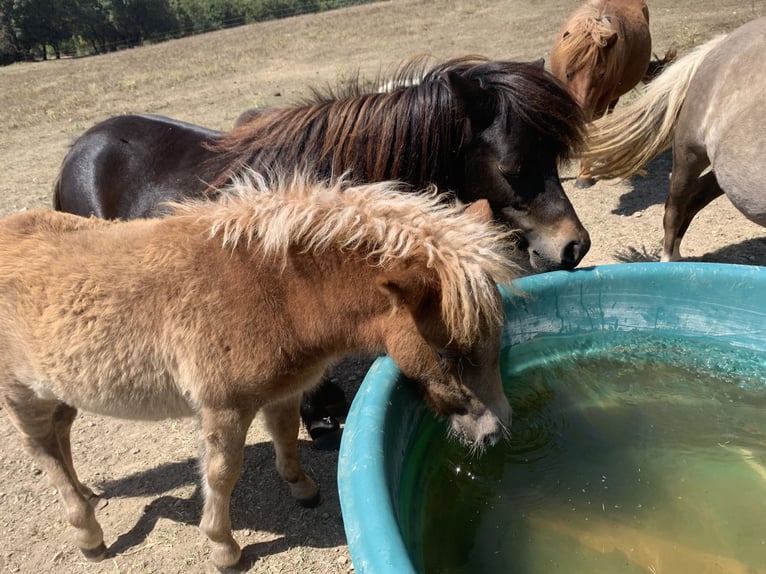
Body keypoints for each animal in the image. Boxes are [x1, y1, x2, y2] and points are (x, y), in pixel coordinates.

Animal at [0, 177, 520, 572]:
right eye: (447, 353)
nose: (495, 432)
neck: (272, 291)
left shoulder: (284, 391)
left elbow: (286, 436)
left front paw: (302, 488)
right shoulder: (224, 408)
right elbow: (222, 473)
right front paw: (223, 548)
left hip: (59, 387)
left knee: (61, 435)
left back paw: (86, 493)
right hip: (22, 393)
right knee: (43, 449)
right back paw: (88, 533)